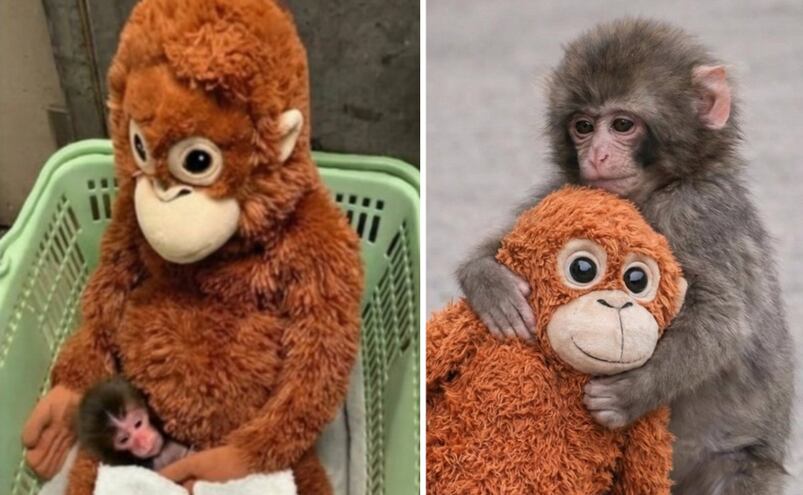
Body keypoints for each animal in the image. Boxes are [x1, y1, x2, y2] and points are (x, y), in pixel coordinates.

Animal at [456, 18, 794, 493]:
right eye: (582, 126)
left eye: (621, 124)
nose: (597, 155)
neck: (652, 192)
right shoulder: (568, 191)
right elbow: (507, 242)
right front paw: (492, 286)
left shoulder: (699, 213)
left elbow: (724, 320)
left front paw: (630, 392)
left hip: (741, 464)